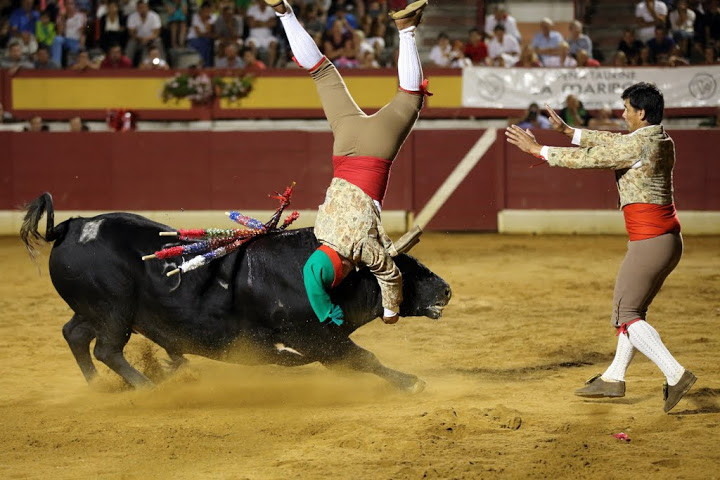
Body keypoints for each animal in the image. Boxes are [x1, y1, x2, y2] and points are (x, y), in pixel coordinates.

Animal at [21, 193, 452, 393]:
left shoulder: (325, 343)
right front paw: (412, 383)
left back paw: (101, 388)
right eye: (404, 269)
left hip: (92, 310)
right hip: (114, 311)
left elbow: (360, 361)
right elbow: (366, 359)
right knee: (107, 349)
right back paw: (149, 388)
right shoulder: (319, 340)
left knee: (75, 335)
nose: (445, 290)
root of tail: (73, 227)